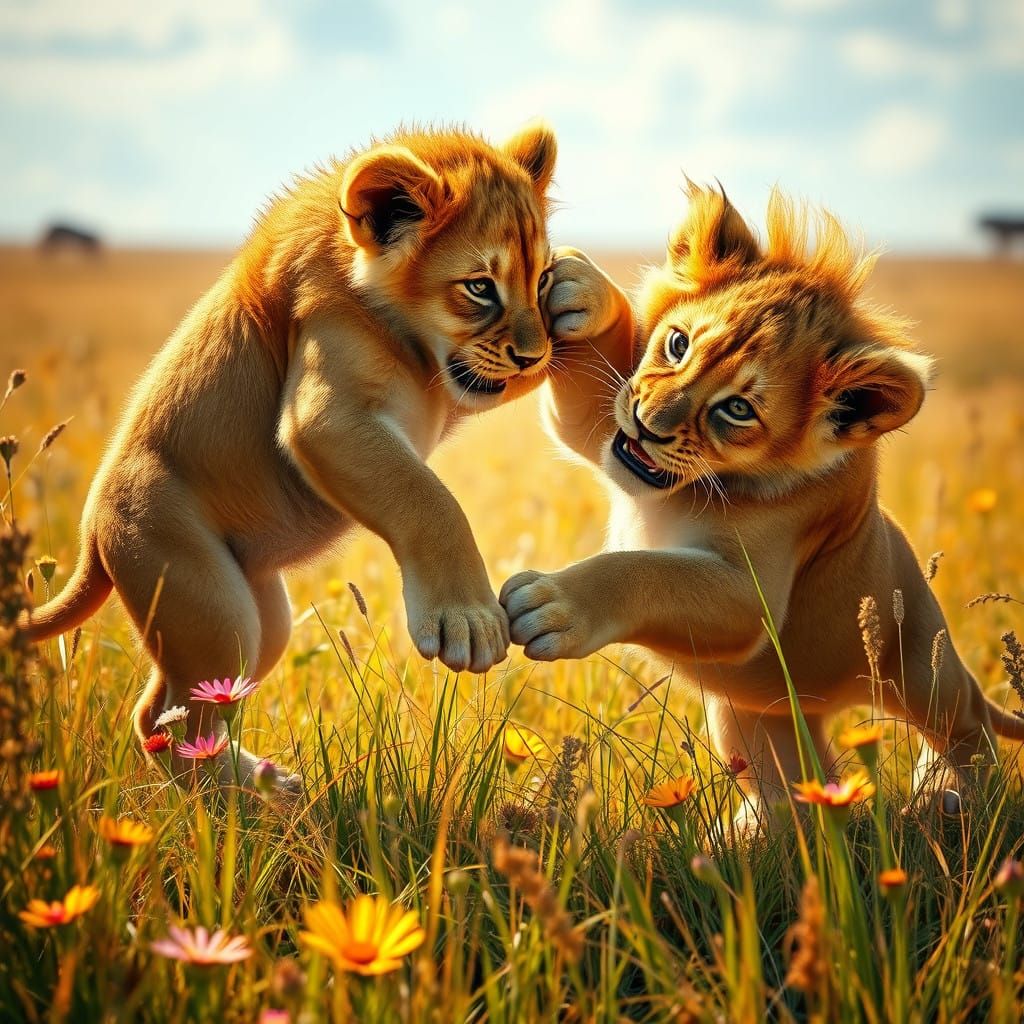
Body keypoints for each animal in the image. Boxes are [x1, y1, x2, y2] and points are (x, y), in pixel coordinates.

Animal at [21, 123, 558, 791]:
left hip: (262, 621)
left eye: (541, 280)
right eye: (480, 287)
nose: (535, 354)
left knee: (166, 711)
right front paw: (467, 620)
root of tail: (90, 535)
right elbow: (429, 499)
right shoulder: (322, 417)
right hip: (210, 604)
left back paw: (264, 785)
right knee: (177, 721)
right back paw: (246, 800)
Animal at [502, 185, 1023, 826]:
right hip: (756, 715)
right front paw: (582, 287)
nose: (648, 426)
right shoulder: (610, 429)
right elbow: (583, 417)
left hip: (922, 663)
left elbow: (646, 571)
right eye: (677, 344)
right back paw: (745, 838)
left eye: (738, 409)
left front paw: (554, 605)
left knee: (965, 718)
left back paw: (948, 796)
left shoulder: (756, 594)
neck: (691, 485)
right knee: (800, 791)